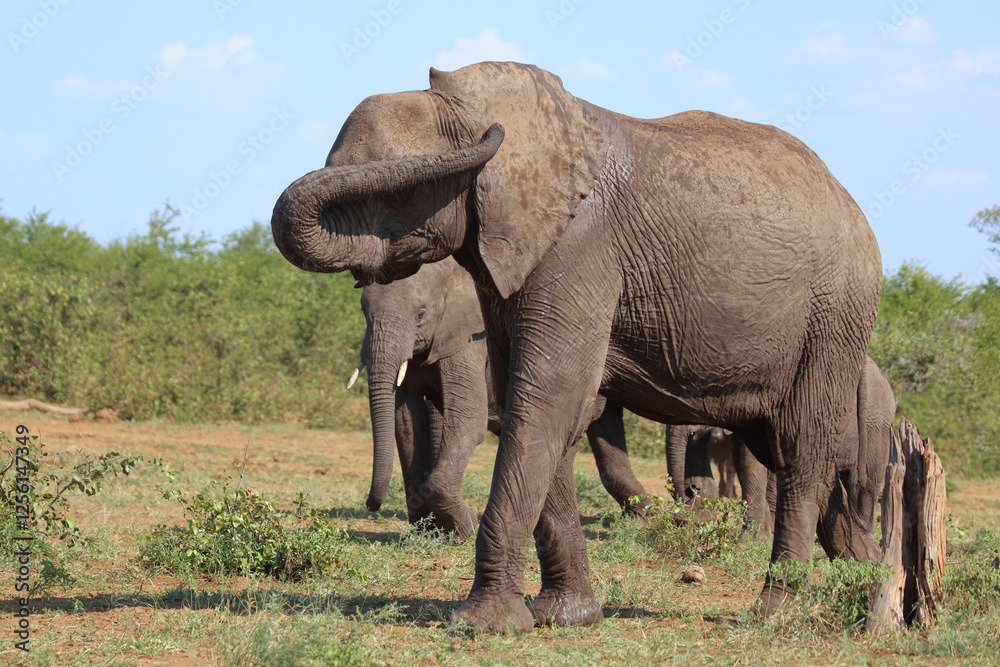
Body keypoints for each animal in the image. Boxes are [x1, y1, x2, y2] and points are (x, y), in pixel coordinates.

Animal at [271, 61, 884, 632]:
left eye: (399, 191)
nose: (372, 505)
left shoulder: (580, 247)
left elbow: (547, 399)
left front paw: (484, 625)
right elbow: (543, 410)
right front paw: (565, 617)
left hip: (834, 315)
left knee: (803, 449)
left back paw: (776, 613)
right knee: (789, 451)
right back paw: (878, 598)